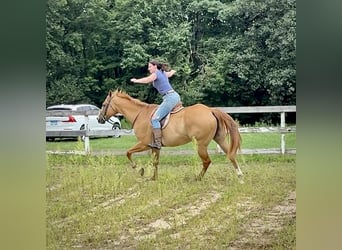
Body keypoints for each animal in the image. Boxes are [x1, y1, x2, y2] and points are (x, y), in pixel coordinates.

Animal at [97, 89, 244, 180]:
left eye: (103, 104)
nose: (99, 119)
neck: (140, 114)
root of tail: (210, 110)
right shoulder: (155, 147)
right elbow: (155, 162)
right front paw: (153, 178)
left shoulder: (145, 144)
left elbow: (128, 152)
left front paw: (138, 169)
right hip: (220, 139)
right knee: (231, 155)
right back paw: (240, 176)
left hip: (201, 145)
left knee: (207, 161)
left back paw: (198, 178)